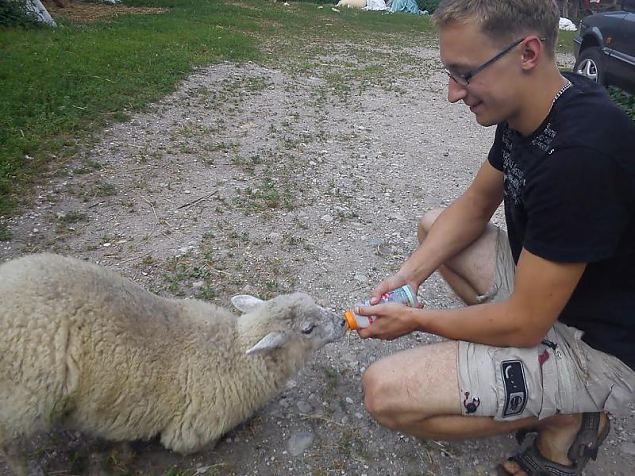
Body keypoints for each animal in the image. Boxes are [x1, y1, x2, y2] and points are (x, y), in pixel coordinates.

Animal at [0, 253, 348, 472]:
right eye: (307, 329)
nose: (343, 322)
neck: (235, 354)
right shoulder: (190, 432)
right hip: (22, 401)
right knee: (11, 447)